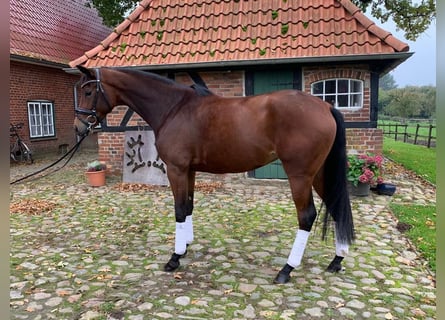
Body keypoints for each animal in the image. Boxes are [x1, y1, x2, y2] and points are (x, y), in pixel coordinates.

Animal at [73, 66, 354, 284]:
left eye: (88, 91)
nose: (78, 127)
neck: (174, 108)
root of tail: (326, 106)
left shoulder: (176, 169)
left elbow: (178, 209)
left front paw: (174, 258)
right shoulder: (189, 170)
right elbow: (188, 206)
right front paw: (186, 246)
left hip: (300, 176)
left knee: (306, 216)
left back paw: (286, 270)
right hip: (319, 174)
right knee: (335, 206)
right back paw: (336, 260)